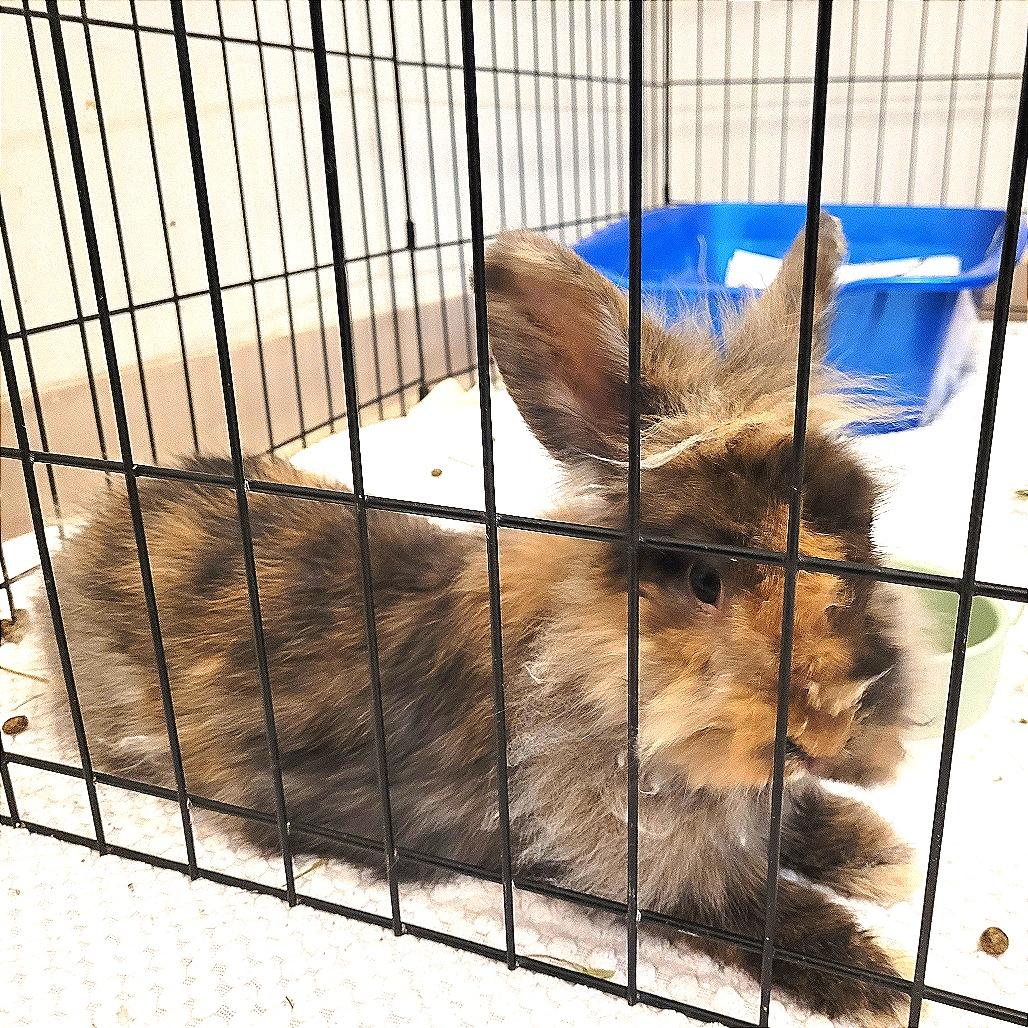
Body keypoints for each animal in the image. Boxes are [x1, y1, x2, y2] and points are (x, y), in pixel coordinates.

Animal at [34, 212, 922, 1026]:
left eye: (869, 533)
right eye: (705, 579)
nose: (833, 731)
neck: (601, 669)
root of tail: (81, 546)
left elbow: (791, 818)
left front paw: (880, 852)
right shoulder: (639, 866)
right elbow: (759, 910)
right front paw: (881, 982)